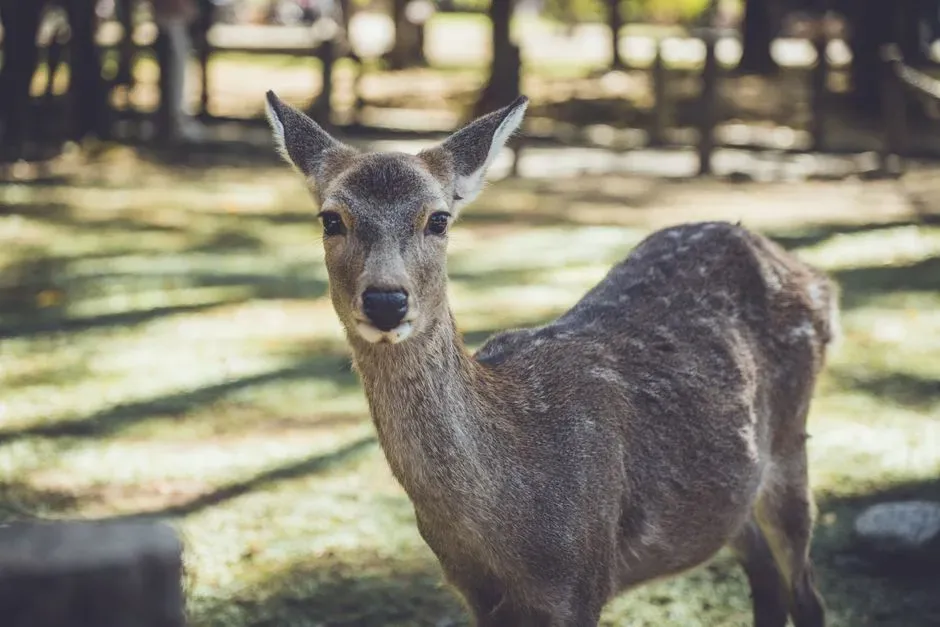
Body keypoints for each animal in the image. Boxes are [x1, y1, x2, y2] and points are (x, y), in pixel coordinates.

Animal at [263, 91, 836, 627]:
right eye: (330, 219)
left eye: (439, 219)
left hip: (791, 443)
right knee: (765, 578)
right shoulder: (475, 593)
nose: (386, 300)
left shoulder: (582, 579)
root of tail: (814, 276)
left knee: (806, 593)